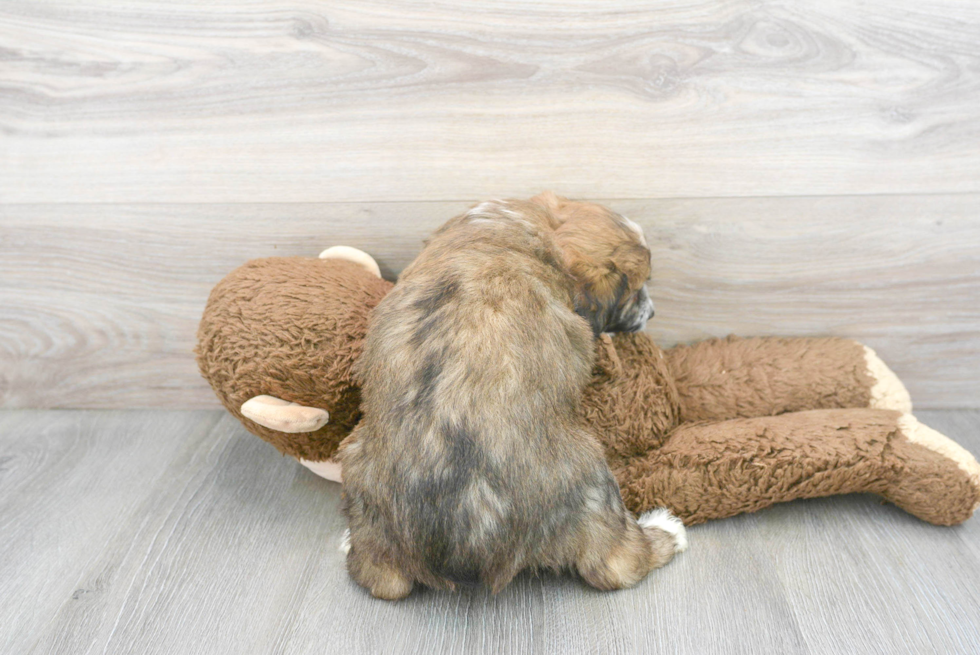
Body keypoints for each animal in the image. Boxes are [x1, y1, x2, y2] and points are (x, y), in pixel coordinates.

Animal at [340, 193, 684, 600]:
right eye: (636, 290)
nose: (653, 312)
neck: (535, 232)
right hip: (594, 480)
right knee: (619, 564)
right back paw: (667, 530)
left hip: (355, 465)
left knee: (378, 577)